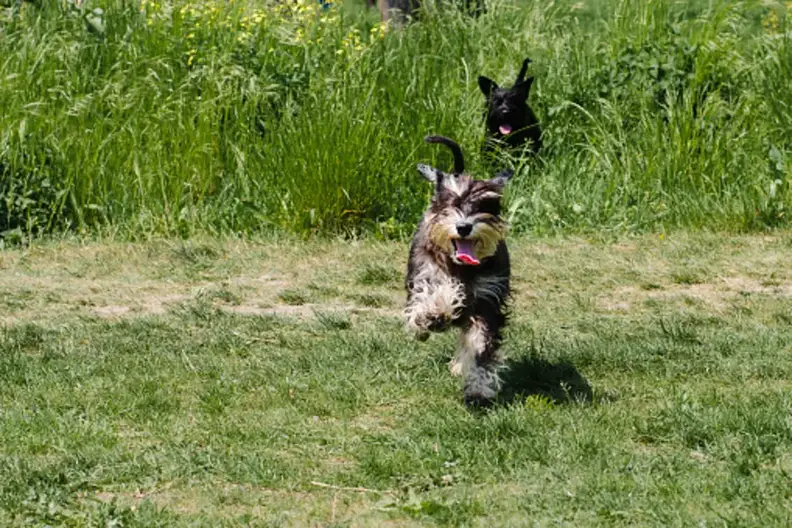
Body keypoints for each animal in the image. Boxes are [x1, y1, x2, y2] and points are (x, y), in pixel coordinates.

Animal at [406, 134, 510, 406]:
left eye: (485, 204)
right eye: (449, 203)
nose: (464, 226)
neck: (460, 267)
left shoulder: (488, 300)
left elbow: (480, 345)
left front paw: (479, 388)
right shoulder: (425, 278)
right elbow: (430, 299)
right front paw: (434, 314)